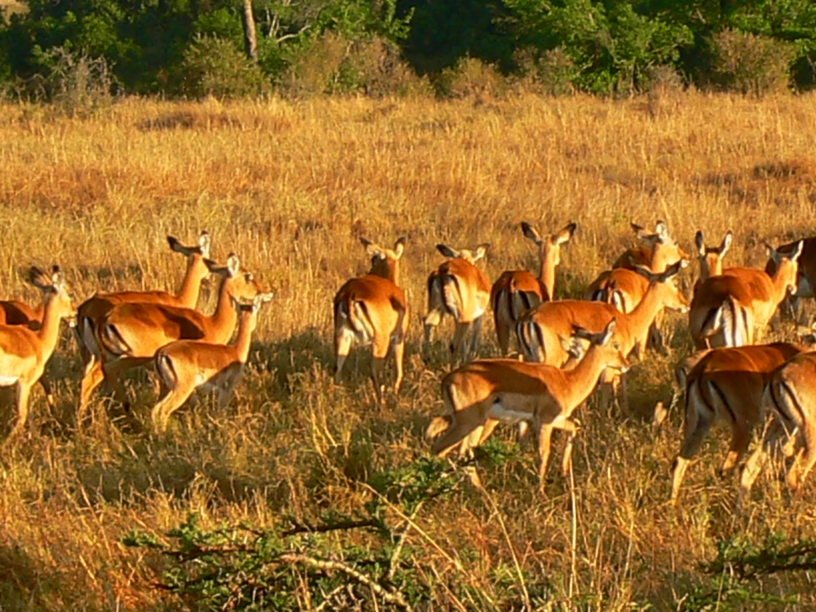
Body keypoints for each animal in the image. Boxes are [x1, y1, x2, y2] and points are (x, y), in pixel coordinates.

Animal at [78, 253, 265, 419]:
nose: (264, 291)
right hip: (131, 357)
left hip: (98, 355)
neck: (210, 324)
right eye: (248, 276)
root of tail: (104, 317)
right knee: (99, 376)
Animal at [150, 292, 274, 434]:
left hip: (168, 387)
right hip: (182, 389)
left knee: (155, 410)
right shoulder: (227, 389)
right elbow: (221, 413)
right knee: (163, 410)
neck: (236, 352)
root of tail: (162, 353)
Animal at [334, 237, 409, 403]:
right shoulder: (399, 336)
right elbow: (399, 369)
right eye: (373, 258)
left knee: (337, 369)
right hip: (380, 340)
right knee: (375, 371)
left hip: (342, 336)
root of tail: (350, 294)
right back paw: (382, 403)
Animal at [427, 319, 629, 489]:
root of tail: (447, 380)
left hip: (472, 423)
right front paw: (541, 489)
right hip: (469, 423)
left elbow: (574, 427)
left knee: (459, 449)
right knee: (440, 448)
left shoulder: (556, 420)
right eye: (616, 345)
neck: (567, 381)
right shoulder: (546, 422)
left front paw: (563, 472)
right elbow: (544, 453)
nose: (626, 364)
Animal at [669, 342, 806, 504]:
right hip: (744, 428)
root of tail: (705, 366)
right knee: (727, 468)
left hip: (698, 424)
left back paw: (672, 505)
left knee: (679, 462)